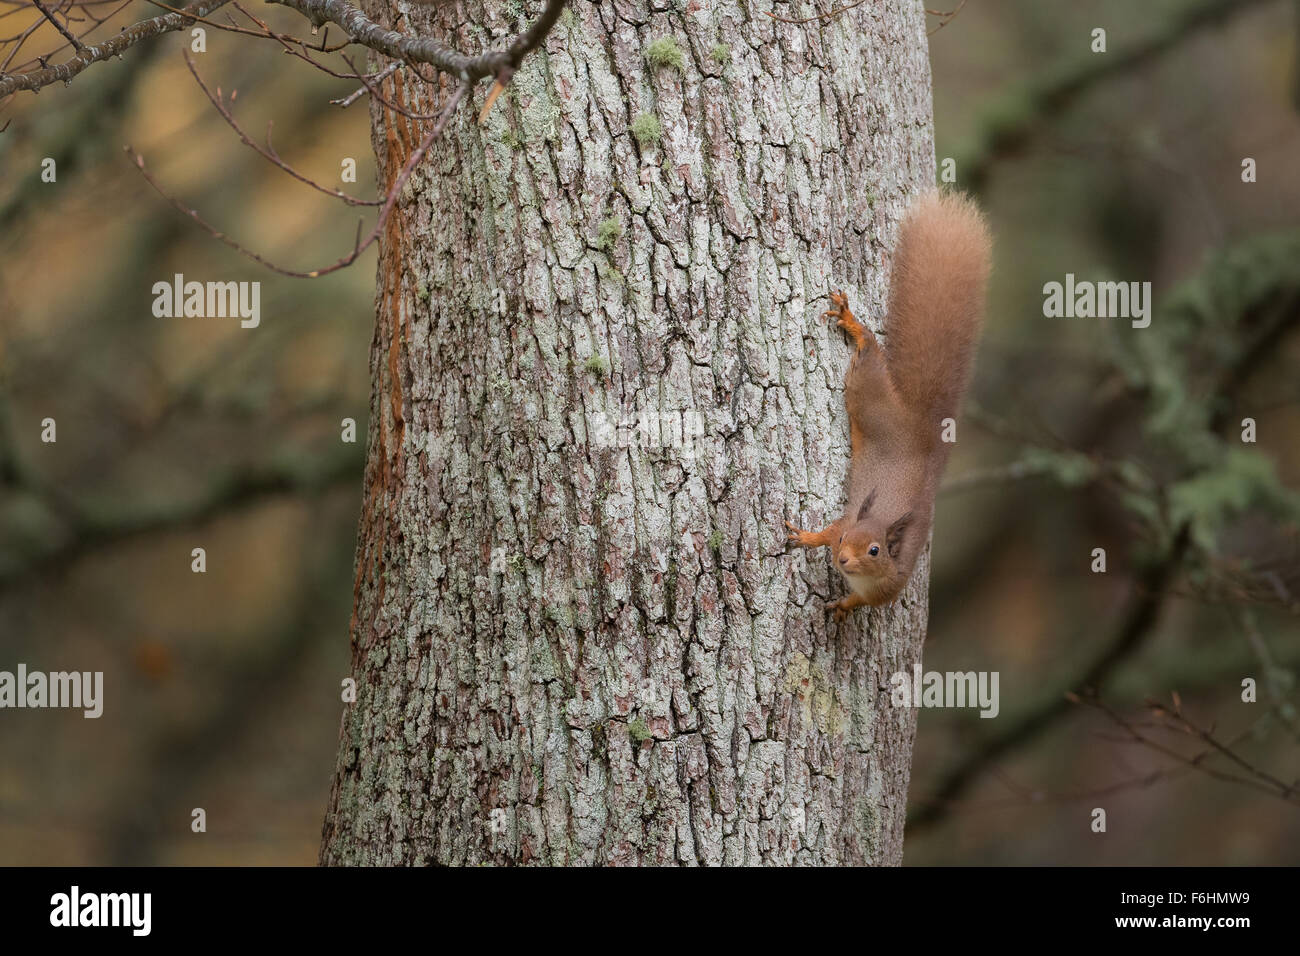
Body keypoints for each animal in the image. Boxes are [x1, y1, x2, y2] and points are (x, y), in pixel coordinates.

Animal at [785, 191, 987, 616]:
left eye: (875, 550)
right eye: (845, 540)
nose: (842, 559)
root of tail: (922, 427)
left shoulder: (887, 588)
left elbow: (858, 601)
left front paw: (842, 609)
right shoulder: (843, 524)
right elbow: (825, 532)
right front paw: (807, 537)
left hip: (872, 403)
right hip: (869, 397)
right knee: (870, 353)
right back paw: (854, 325)